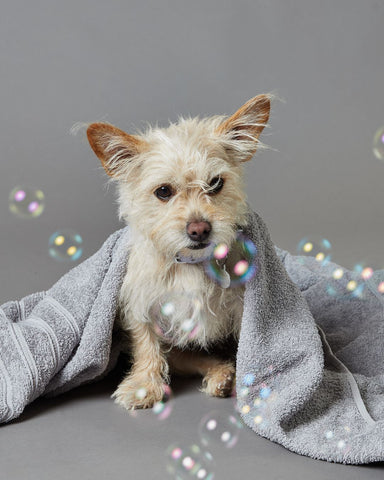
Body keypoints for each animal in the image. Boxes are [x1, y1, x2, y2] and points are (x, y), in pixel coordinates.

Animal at [87, 94, 272, 408]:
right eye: (163, 191)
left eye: (215, 183)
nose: (199, 229)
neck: (190, 265)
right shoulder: (141, 304)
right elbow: (146, 344)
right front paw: (144, 385)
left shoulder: (242, 309)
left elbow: (246, 344)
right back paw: (221, 374)